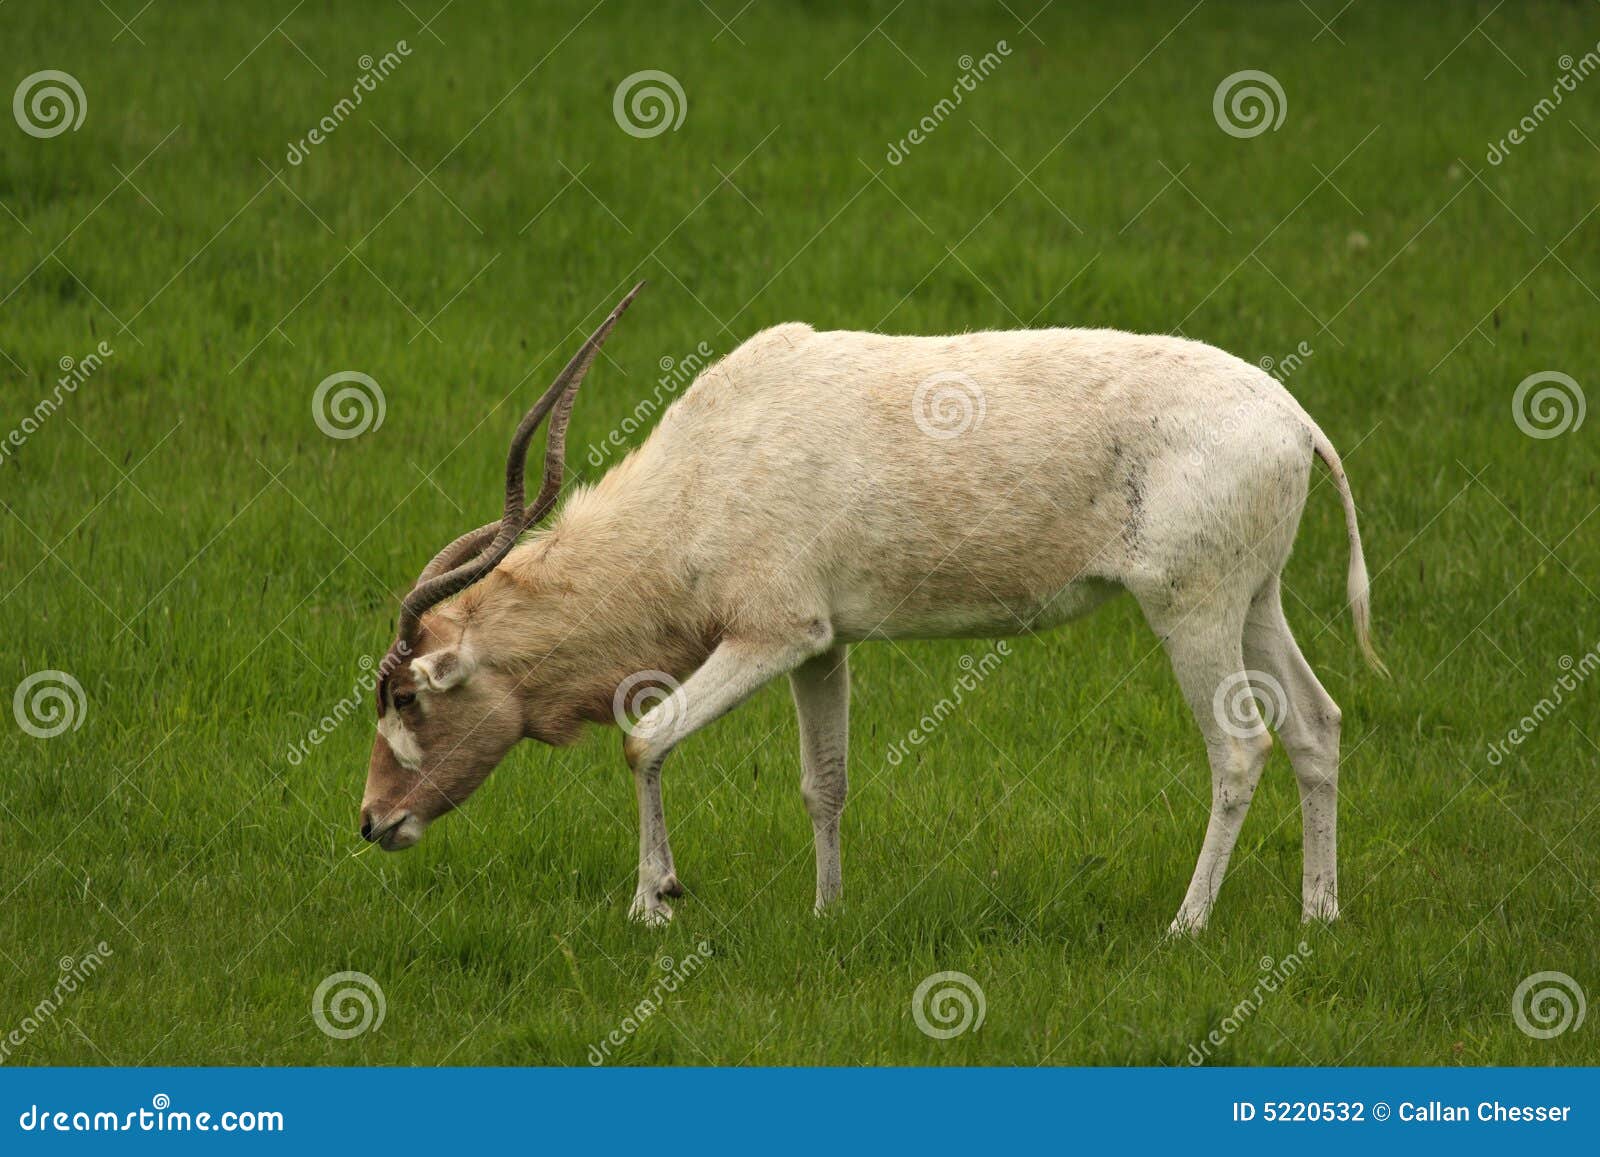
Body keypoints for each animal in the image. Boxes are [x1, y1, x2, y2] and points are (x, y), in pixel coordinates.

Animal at [361, 284, 1383, 933]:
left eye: (406, 697)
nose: (372, 822)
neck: (703, 471)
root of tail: (1294, 420)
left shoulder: (771, 632)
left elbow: (643, 737)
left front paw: (654, 902)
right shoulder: (823, 645)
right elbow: (827, 780)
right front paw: (827, 913)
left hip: (1191, 608)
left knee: (1240, 746)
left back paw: (1187, 924)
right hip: (1255, 598)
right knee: (1316, 722)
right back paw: (1320, 913)